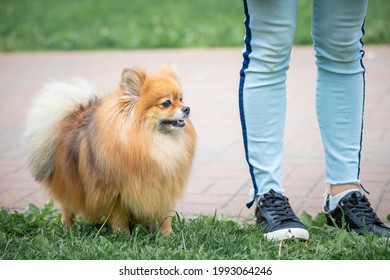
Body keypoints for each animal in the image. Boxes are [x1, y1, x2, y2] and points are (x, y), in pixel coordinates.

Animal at [23, 65, 197, 234]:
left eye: (181, 99)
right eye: (166, 103)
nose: (187, 108)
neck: (152, 141)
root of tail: (73, 115)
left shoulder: (164, 188)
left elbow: (164, 217)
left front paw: (167, 235)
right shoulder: (116, 193)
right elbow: (119, 217)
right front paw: (123, 235)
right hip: (69, 181)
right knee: (67, 208)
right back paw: (68, 229)